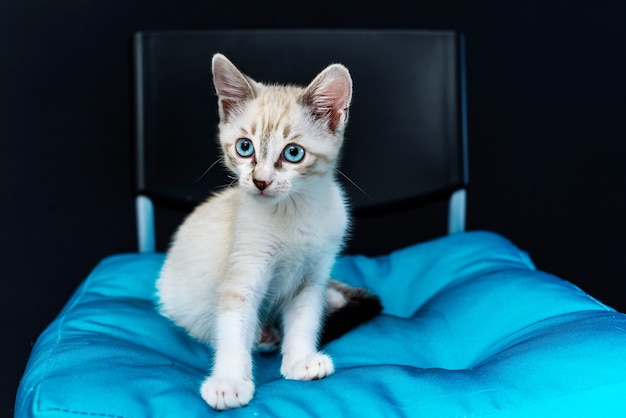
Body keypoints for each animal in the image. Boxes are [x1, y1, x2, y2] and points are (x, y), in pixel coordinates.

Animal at [156, 53, 380, 412]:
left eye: (293, 153)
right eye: (245, 148)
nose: (260, 181)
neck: (293, 211)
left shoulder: (311, 277)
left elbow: (304, 318)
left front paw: (301, 360)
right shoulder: (243, 270)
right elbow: (234, 325)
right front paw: (229, 383)